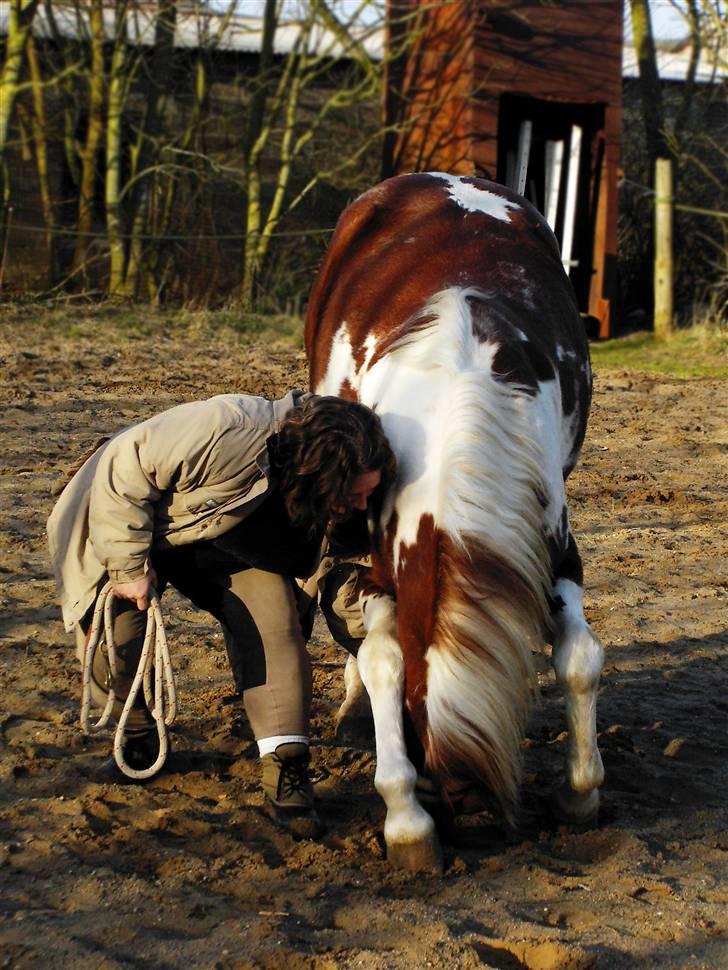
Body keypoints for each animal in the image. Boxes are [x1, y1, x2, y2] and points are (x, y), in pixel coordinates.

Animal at [304, 172, 604, 868]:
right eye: (417, 724)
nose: (462, 801)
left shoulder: (558, 546)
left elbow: (579, 657)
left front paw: (580, 793)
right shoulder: (381, 566)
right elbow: (383, 660)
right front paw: (406, 821)